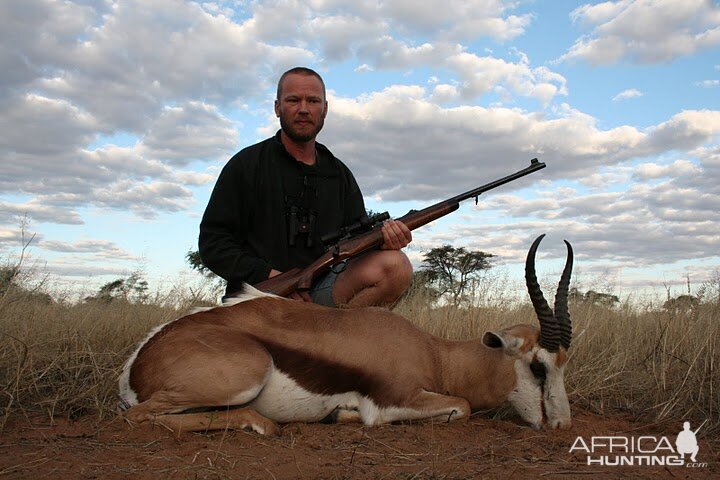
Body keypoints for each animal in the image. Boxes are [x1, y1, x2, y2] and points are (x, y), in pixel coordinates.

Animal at [118, 234, 572, 434]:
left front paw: (340, 414)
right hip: (244, 376)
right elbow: (460, 406)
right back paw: (260, 424)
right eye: (537, 366)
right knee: (139, 417)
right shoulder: (393, 401)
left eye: (564, 364)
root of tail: (137, 364)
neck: (434, 354)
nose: (562, 424)